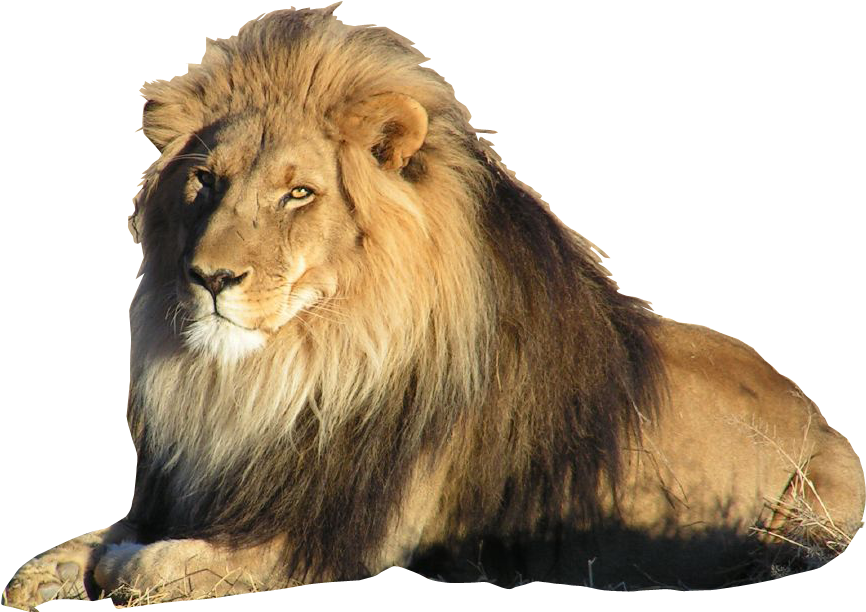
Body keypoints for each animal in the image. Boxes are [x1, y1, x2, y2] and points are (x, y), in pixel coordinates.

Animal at [4, 6, 864, 606]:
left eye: (298, 194)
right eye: (205, 181)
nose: (209, 278)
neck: (284, 375)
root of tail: (813, 405)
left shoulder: (334, 536)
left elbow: (159, 563)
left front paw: (122, 569)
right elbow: (96, 537)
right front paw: (45, 570)